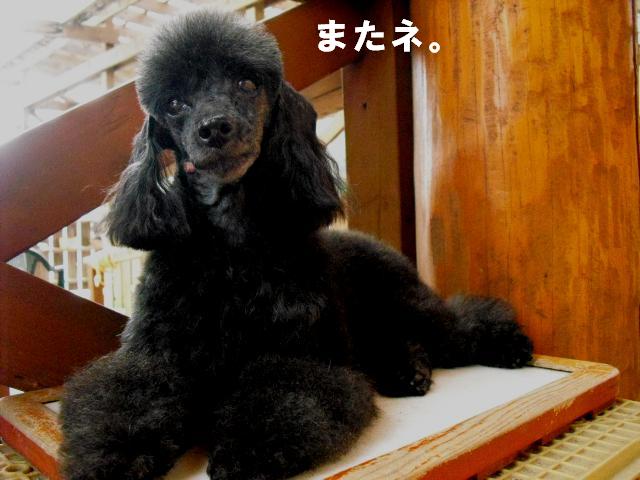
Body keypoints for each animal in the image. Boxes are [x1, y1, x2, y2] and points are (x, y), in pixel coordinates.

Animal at [60, 10, 533, 480]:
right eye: (175, 103)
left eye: (247, 83)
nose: (214, 128)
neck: (232, 247)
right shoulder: (157, 355)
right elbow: (128, 400)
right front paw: (115, 457)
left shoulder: (301, 352)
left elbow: (280, 394)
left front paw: (244, 450)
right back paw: (407, 370)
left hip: (405, 303)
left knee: (458, 324)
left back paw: (506, 346)